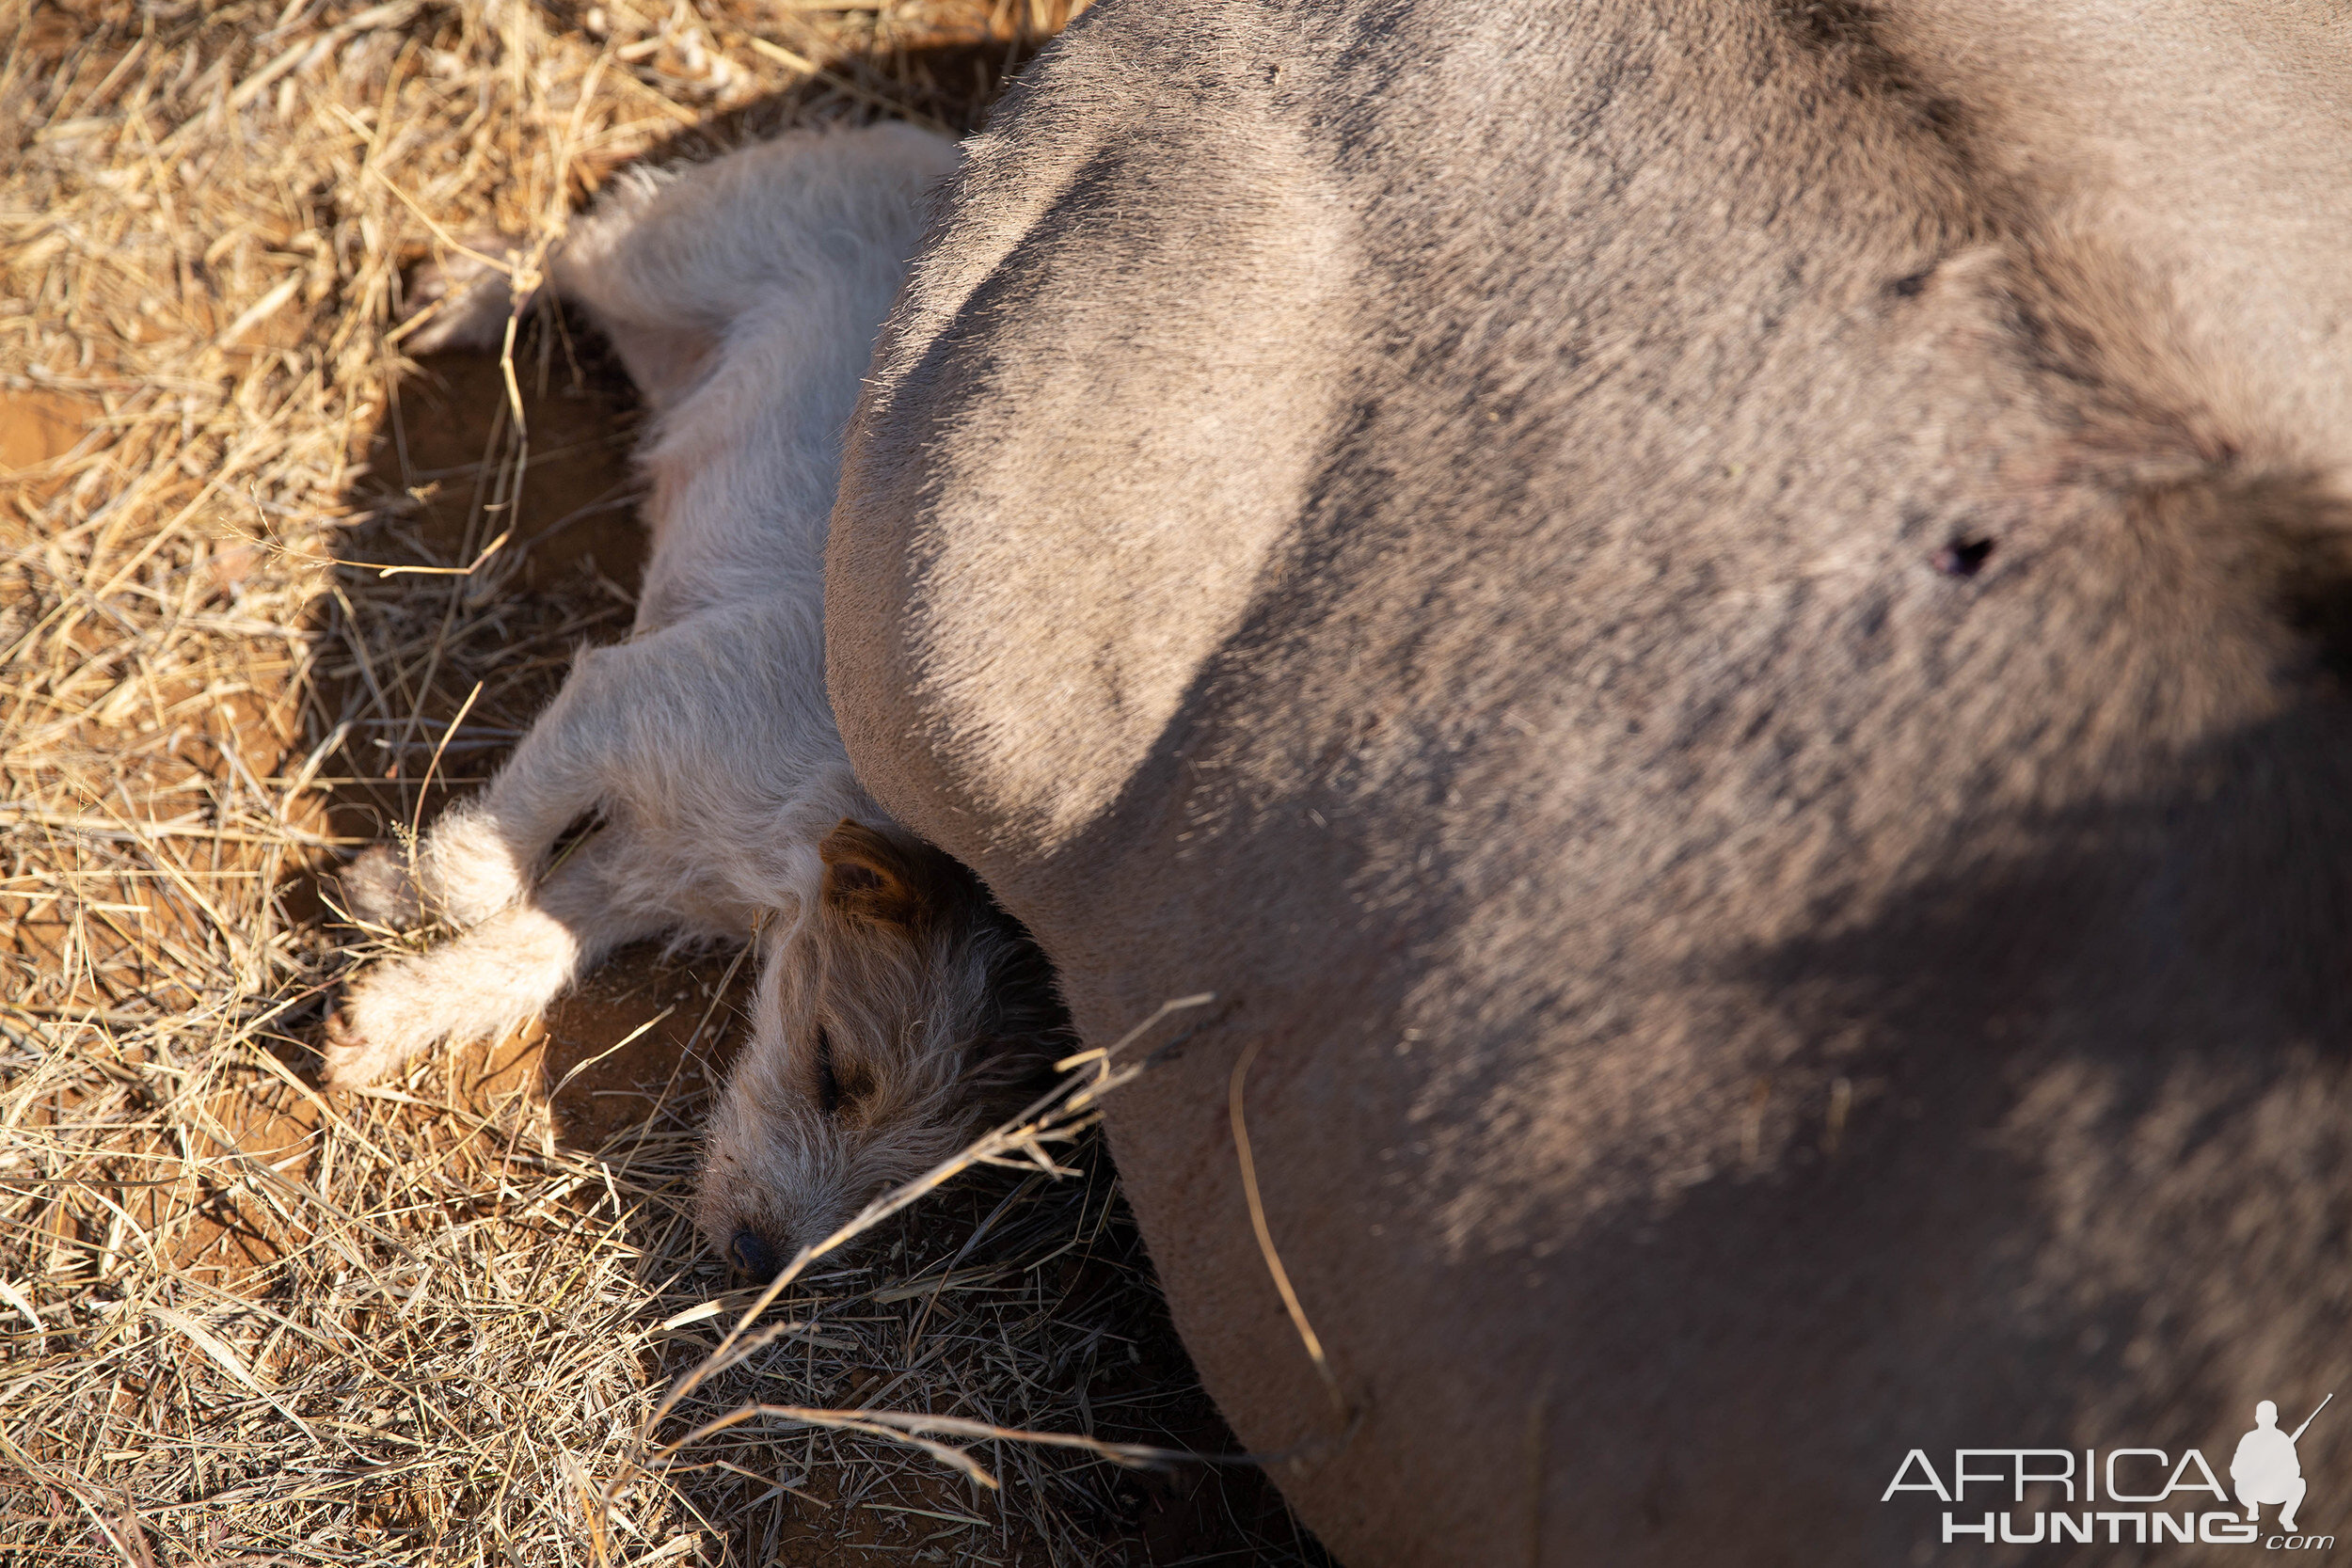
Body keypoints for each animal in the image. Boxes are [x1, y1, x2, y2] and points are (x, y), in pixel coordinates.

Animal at [322, 119, 1068, 1278]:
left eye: (902, 1195)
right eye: (832, 1069)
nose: (760, 1260)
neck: (799, 828)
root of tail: (944, 150)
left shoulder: (642, 871)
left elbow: (524, 946)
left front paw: (388, 1008)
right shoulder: (624, 705)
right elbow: (479, 876)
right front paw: (399, 884)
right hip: (669, 259)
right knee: (570, 243)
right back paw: (468, 288)